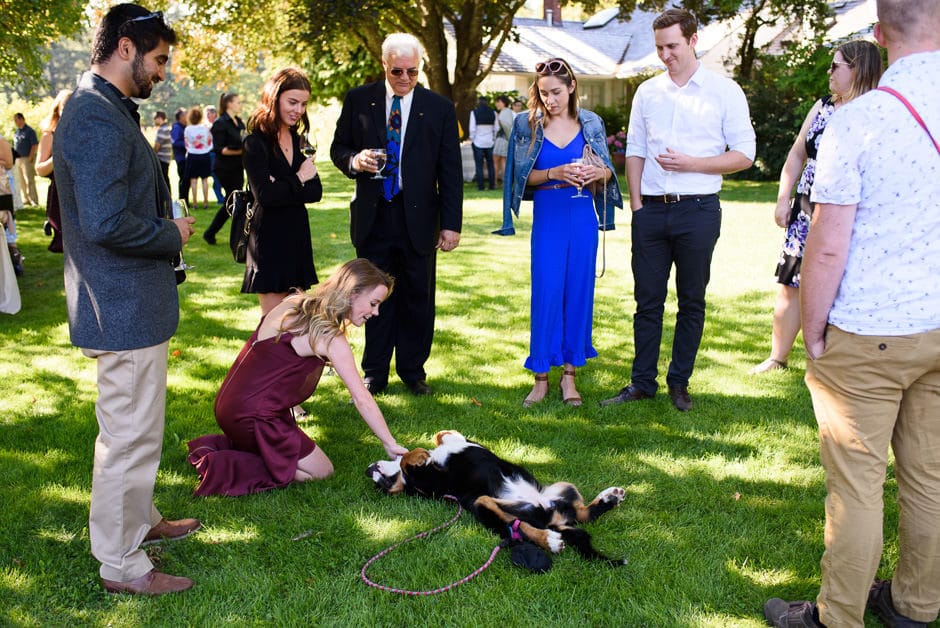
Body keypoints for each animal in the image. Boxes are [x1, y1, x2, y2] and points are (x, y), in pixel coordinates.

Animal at [366, 432, 624, 564]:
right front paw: (418, 453)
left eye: (382, 485)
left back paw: (610, 498)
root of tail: (551, 518)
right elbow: (406, 460)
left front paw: (425, 448)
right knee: (519, 526)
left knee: (583, 514)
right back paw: (549, 540)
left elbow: (443, 436)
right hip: (484, 503)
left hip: (563, 487)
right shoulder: (430, 483)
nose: (368, 471)